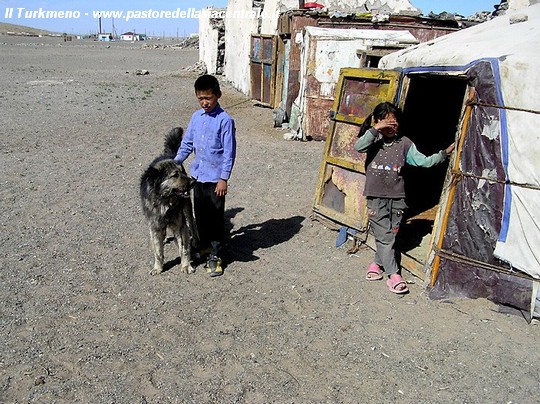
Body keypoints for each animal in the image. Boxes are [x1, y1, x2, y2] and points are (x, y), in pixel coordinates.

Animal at [140, 128, 197, 276]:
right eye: (174, 175)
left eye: (182, 173)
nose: (193, 182)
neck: (164, 200)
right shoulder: (154, 226)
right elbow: (157, 251)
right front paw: (158, 267)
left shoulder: (180, 225)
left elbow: (184, 248)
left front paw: (186, 265)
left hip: (187, 209)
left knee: (192, 224)